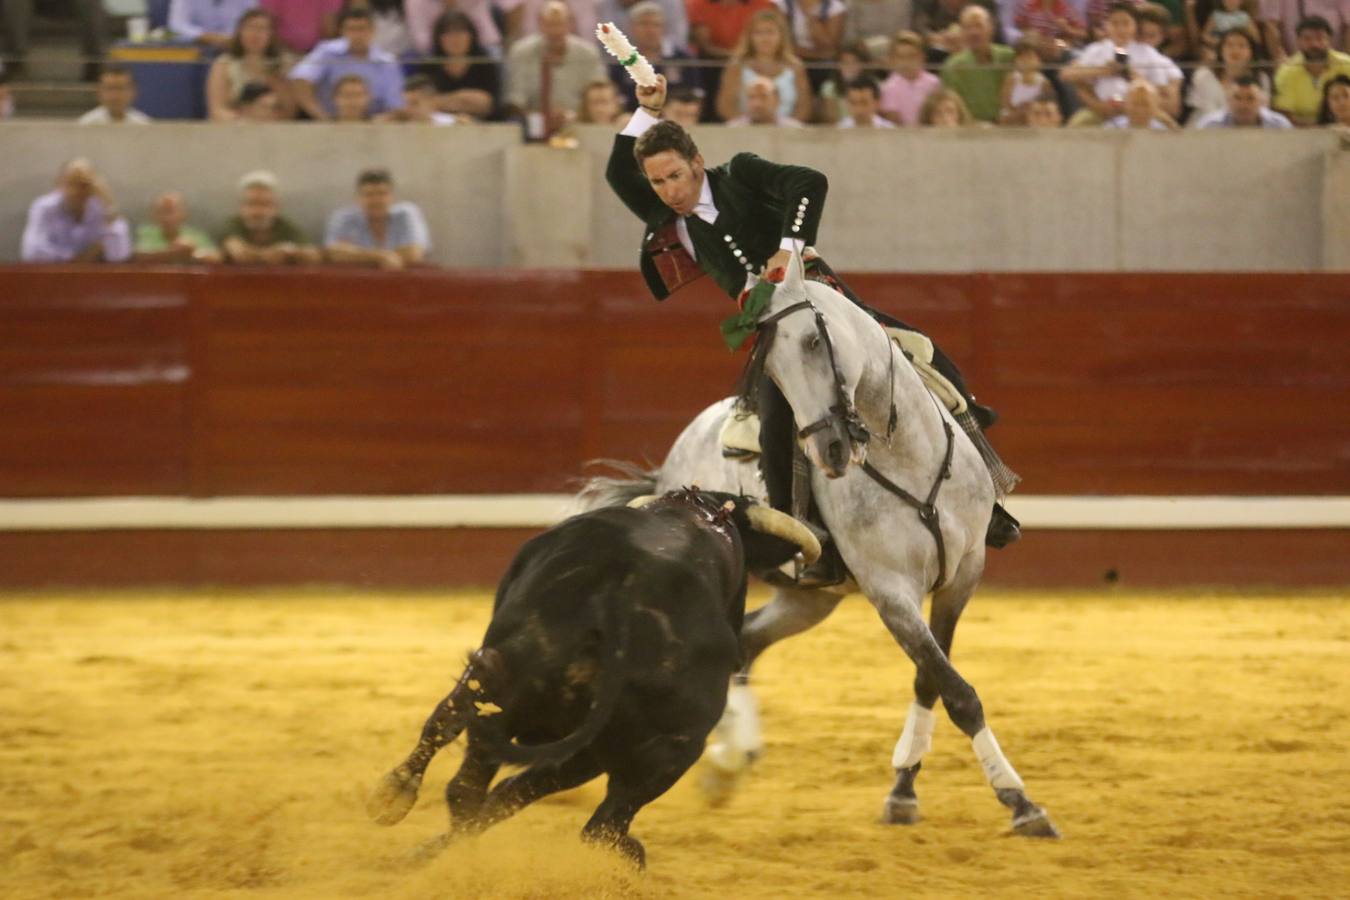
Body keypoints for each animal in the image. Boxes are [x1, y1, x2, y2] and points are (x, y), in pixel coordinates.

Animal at [364, 488, 815, 868]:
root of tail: (619, 600)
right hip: (653, 748)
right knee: (589, 823)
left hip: (508, 683)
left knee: (471, 780)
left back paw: (411, 823)